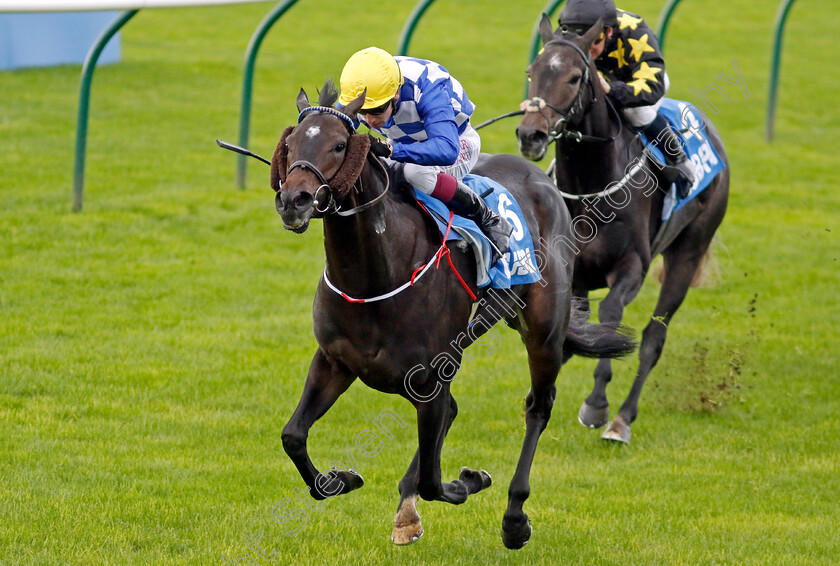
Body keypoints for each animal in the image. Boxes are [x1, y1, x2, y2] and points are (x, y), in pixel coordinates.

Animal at [272, 81, 632, 552]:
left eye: (338, 145)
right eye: (291, 143)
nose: (293, 200)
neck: (376, 274)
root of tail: (541, 178)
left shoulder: (429, 380)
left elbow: (433, 480)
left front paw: (468, 481)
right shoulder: (335, 362)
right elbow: (293, 436)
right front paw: (341, 479)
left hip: (543, 331)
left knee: (538, 408)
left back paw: (515, 518)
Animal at [516, 15, 724, 446]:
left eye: (575, 77)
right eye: (532, 72)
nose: (531, 135)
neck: (590, 189)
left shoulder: (631, 267)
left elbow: (611, 314)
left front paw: (596, 405)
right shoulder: (571, 273)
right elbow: (573, 326)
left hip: (689, 251)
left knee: (654, 338)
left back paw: (621, 420)